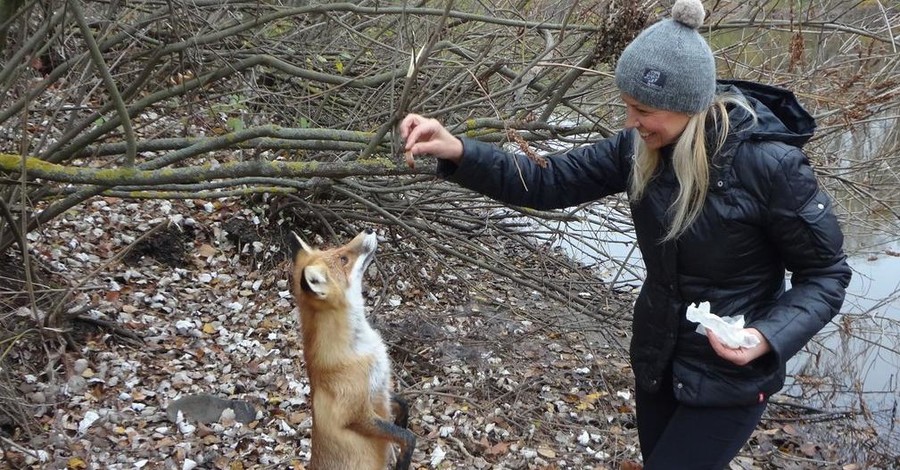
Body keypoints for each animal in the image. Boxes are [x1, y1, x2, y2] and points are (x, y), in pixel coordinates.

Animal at [288, 230, 414, 470]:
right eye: (343, 259)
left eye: (337, 250)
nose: (368, 231)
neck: (358, 349)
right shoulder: (356, 415)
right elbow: (407, 438)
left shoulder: (379, 388)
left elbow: (403, 405)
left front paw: (402, 421)